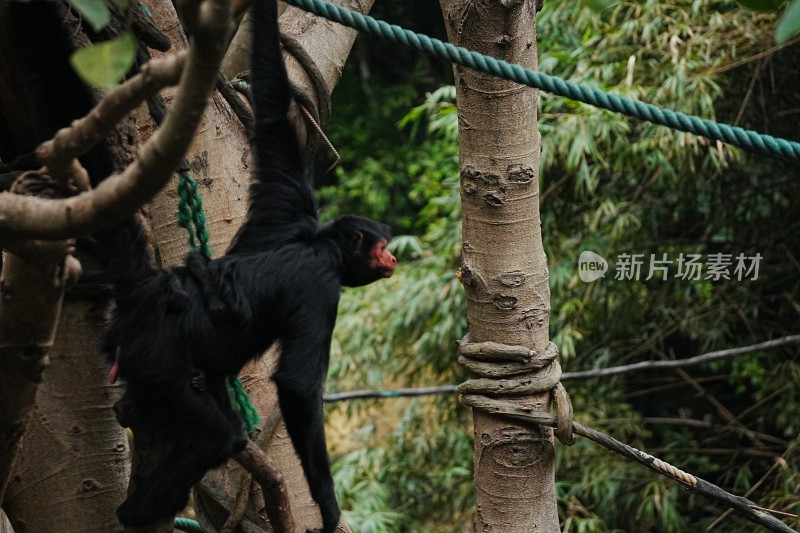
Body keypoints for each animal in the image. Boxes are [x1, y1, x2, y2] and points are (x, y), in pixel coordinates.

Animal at [99, 0, 396, 528]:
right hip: (156, 359)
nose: (394, 257)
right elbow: (296, 387)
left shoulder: (290, 202)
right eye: (380, 248)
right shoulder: (321, 288)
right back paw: (138, 510)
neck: (315, 245)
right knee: (218, 436)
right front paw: (328, 503)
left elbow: (274, 113)